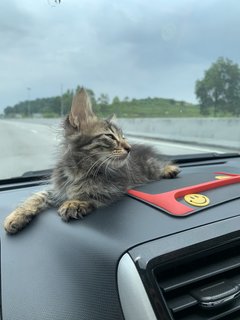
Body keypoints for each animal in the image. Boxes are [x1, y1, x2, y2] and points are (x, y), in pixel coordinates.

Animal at [3, 87, 179, 232]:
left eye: (124, 137)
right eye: (110, 137)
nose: (129, 148)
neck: (79, 170)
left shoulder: (114, 187)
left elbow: (92, 193)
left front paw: (74, 202)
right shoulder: (58, 188)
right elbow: (37, 196)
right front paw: (16, 215)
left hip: (149, 166)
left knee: (160, 164)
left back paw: (170, 169)